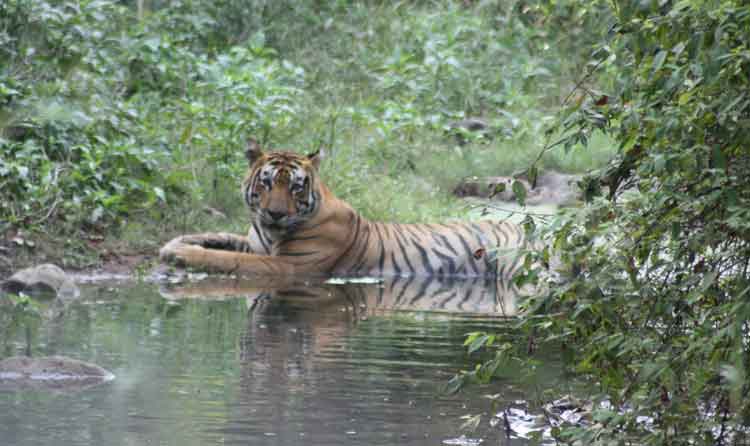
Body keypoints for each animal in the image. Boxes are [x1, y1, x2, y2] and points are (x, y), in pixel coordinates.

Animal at [160, 140, 536, 278]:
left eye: (296, 186)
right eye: (266, 183)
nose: (276, 213)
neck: (271, 231)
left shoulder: (291, 266)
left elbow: (230, 259)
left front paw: (184, 256)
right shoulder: (255, 240)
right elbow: (220, 237)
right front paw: (175, 244)